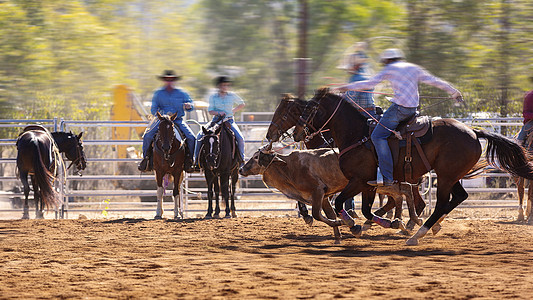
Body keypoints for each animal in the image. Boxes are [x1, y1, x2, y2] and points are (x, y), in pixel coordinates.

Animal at [290, 88, 532, 245]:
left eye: (310, 108)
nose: (297, 133)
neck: (358, 135)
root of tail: (474, 131)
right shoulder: (368, 184)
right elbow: (366, 210)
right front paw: (388, 224)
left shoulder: (358, 181)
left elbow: (342, 202)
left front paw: (354, 225)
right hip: (451, 175)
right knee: (458, 197)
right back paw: (427, 227)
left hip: (445, 176)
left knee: (441, 203)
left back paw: (419, 233)